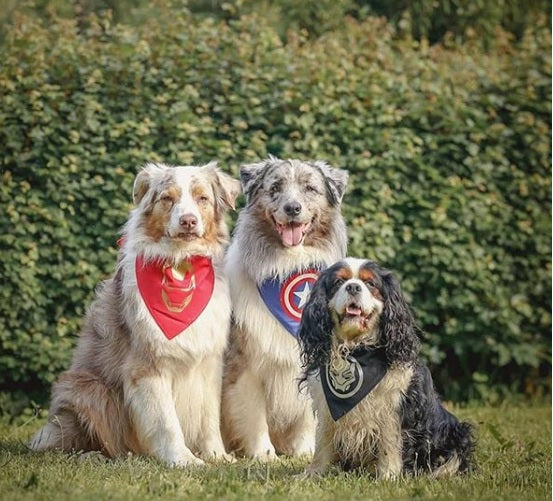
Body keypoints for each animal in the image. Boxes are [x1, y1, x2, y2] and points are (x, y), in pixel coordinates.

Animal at [28, 161, 239, 464]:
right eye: (167, 199)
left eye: (203, 198)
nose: (188, 221)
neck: (180, 265)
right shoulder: (147, 365)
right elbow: (166, 421)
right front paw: (183, 460)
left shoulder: (209, 362)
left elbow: (209, 417)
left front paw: (217, 456)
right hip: (86, 390)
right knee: (65, 443)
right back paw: (94, 456)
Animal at [221, 155, 348, 458]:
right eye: (275, 187)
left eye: (310, 189)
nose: (293, 208)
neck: (288, 264)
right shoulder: (246, 364)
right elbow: (253, 414)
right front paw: (263, 454)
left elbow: (306, 414)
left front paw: (304, 450)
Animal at [298, 258, 474, 476]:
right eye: (339, 282)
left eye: (370, 284)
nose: (353, 287)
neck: (356, 349)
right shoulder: (325, 408)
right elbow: (323, 441)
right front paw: (313, 473)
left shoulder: (393, 407)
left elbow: (389, 444)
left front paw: (388, 475)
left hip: (457, 433)